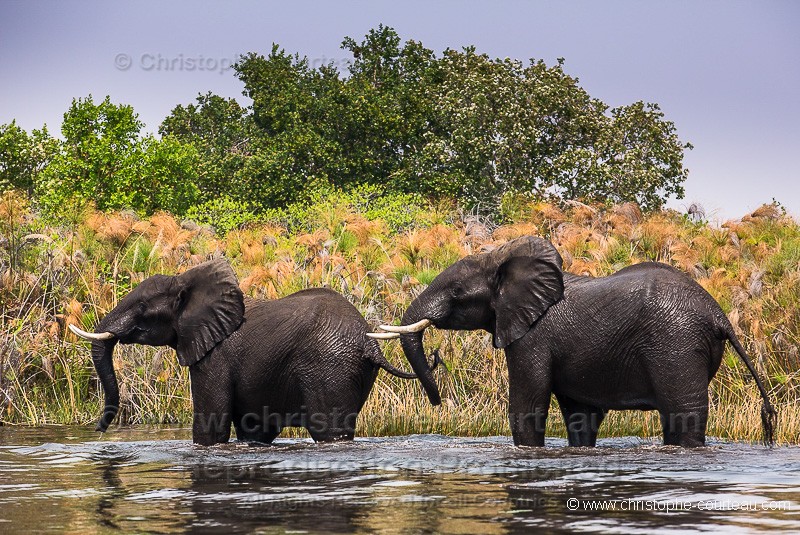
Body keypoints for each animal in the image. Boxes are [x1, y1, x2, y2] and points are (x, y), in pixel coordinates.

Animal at [71, 258, 416, 444]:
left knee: (329, 431)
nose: (99, 429)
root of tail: (369, 341)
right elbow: (254, 430)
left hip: (329, 366)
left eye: (142, 307)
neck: (188, 282)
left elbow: (211, 427)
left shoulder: (215, 357)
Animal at [372, 237, 780, 450]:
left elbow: (528, 404)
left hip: (677, 343)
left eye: (456, 292)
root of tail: (719, 315)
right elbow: (581, 415)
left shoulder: (533, 336)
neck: (502, 260)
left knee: (685, 414)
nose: (437, 400)